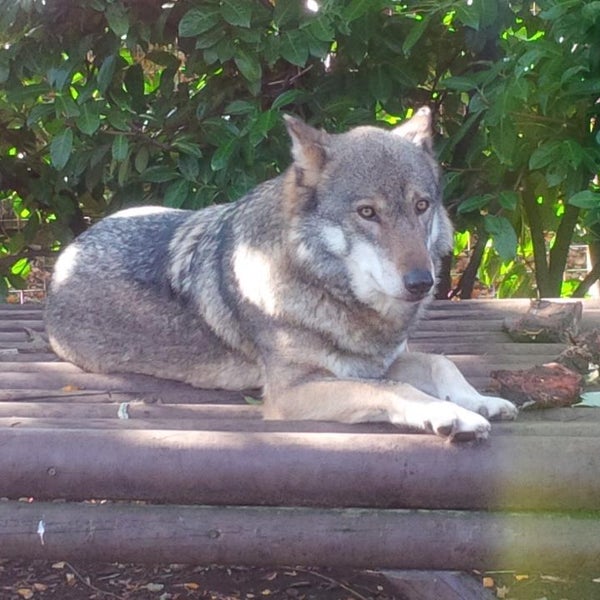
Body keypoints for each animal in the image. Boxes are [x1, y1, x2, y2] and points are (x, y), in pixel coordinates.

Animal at [45, 109, 516, 440]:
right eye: (367, 213)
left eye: (421, 206)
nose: (422, 282)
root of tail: (70, 250)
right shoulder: (292, 392)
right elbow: (393, 390)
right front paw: (451, 414)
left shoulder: (378, 361)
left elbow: (441, 361)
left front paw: (479, 400)